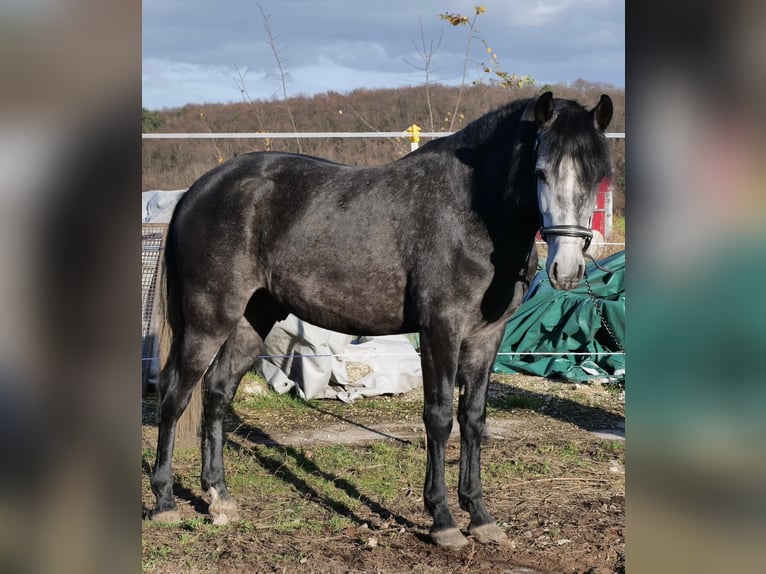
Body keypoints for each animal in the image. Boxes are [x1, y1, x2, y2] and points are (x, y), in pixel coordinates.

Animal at [149, 91, 613, 550]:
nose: (567, 269)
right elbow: (439, 418)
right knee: (176, 393)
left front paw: (480, 517)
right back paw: (165, 502)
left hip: (251, 319)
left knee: (216, 393)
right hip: (209, 318)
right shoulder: (440, 329)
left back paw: (219, 497)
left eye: (596, 176)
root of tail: (198, 190)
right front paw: (442, 520)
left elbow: (474, 419)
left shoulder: (486, 337)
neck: (471, 213)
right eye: (540, 172)